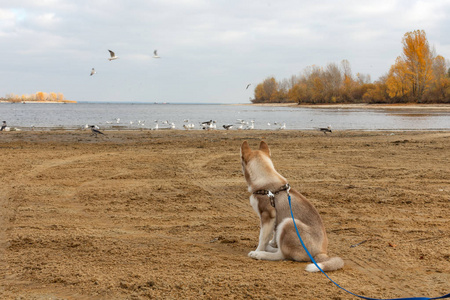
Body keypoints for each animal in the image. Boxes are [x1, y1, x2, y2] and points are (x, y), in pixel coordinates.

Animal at [241, 141, 342, 272]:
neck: (266, 178)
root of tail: (321, 253)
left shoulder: (267, 216)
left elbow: (262, 237)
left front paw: (258, 250)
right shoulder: (275, 219)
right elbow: (274, 234)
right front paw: (272, 243)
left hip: (288, 222)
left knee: (282, 255)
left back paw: (260, 254)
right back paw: (270, 248)